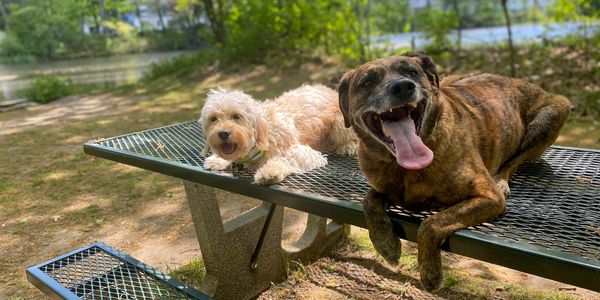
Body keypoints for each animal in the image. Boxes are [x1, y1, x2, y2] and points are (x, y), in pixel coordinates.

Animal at [199, 83, 356, 184]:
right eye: (213, 119)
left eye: (237, 116)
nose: (223, 133)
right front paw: (217, 160)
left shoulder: (307, 154)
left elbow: (283, 160)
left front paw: (270, 172)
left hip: (339, 126)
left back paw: (347, 146)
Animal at [340, 52, 568, 290]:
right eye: (367, 82)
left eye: (412, 72)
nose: (403, 87)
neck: (404, 167)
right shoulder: (384, 189)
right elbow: (369, 199)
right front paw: (385, 243)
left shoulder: (489, 197)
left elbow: (431, 224)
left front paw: (430, 272)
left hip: (554, 111)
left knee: (514, 160)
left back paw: (501, 179)